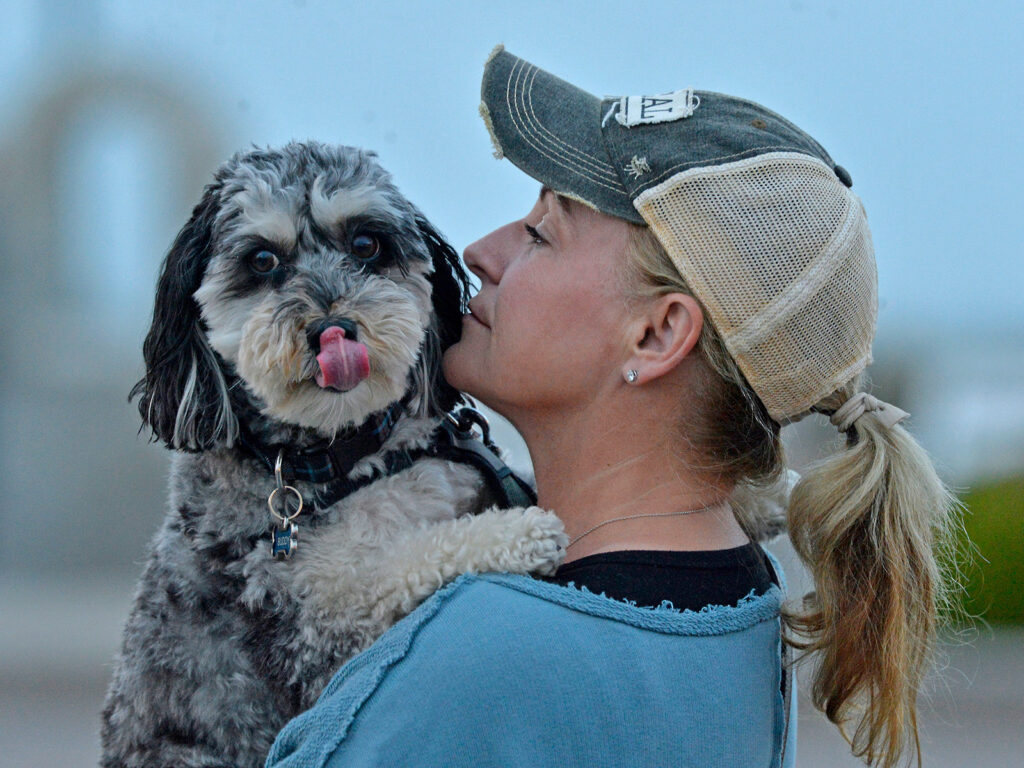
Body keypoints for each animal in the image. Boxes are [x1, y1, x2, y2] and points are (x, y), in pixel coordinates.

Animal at [101, 144, 569, 768]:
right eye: (263, 260)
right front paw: (517, 533)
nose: (333, 329)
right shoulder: (313, 626)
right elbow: (397, 563)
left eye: (366, 245)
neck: (346, 459)